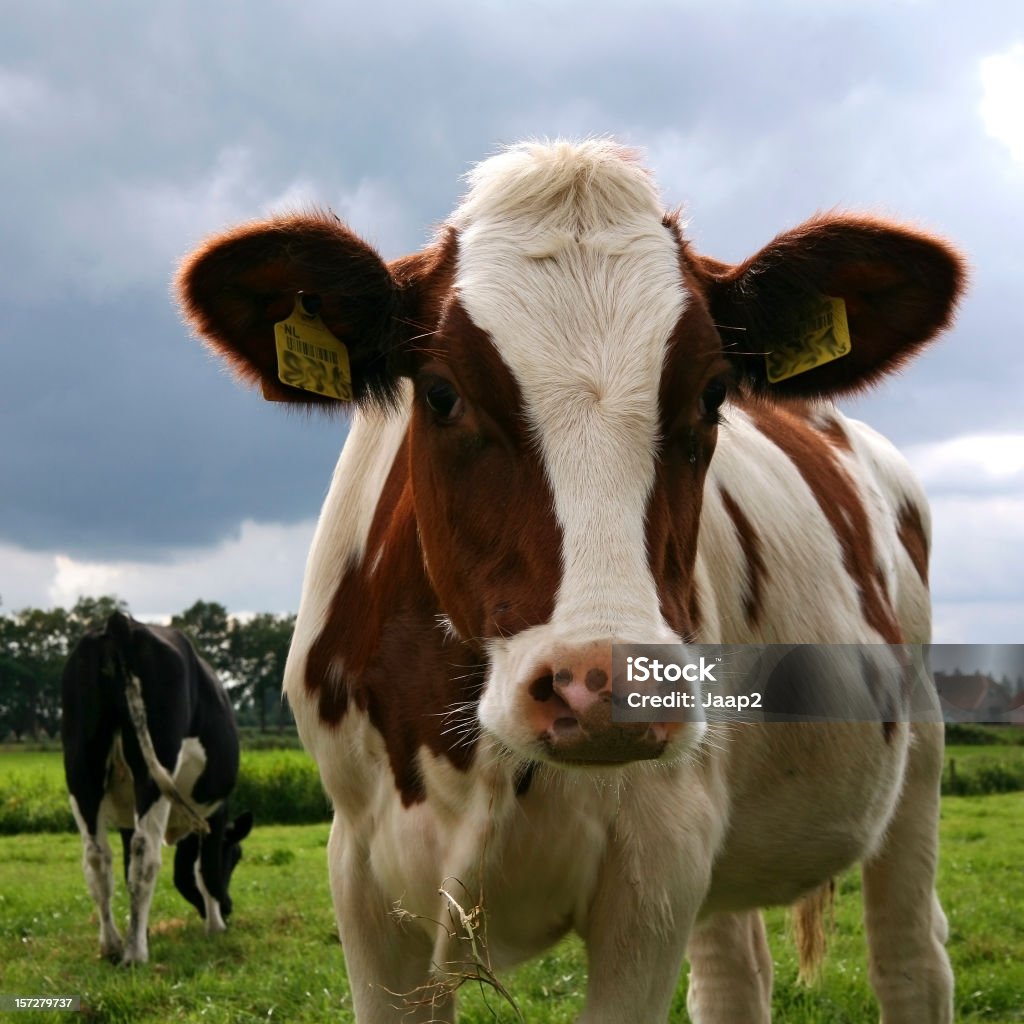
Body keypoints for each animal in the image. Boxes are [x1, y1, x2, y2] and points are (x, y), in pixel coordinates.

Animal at [61, 610, 251, 962]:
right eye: (236, 856)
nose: (230, 907)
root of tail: (120, 622)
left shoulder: (125, 815)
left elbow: (126, 866)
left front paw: (142, 930)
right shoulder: (216, 812)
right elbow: (206, 868)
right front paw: (216, 925)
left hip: (81, 766)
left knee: (97, 857)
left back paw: (112, 945)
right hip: (155, 768)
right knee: (146, 853)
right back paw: (135, 954)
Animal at [178, 140, 966, 1019]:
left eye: (713, 393)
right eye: (442, 393)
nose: (606, 688)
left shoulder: (656, 869)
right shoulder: (362, 874)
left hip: (917, 759)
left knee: (910, 957)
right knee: (735, 974)